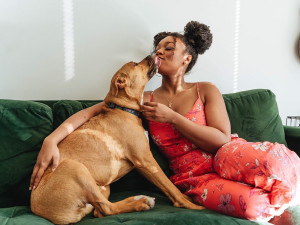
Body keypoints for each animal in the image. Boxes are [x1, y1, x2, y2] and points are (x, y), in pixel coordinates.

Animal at [30, 55, 204, 224]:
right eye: (135, 64)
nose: (155, 53)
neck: (124, 109)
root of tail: (39, 210)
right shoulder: (146, 160)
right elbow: (170, 186)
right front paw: (192, 205)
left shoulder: (141, 164)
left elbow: (167, 186)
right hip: (75, 168)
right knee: (106, 209)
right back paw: (141, 203)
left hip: (103, 186)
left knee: (99, 210)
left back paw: (138, 198)